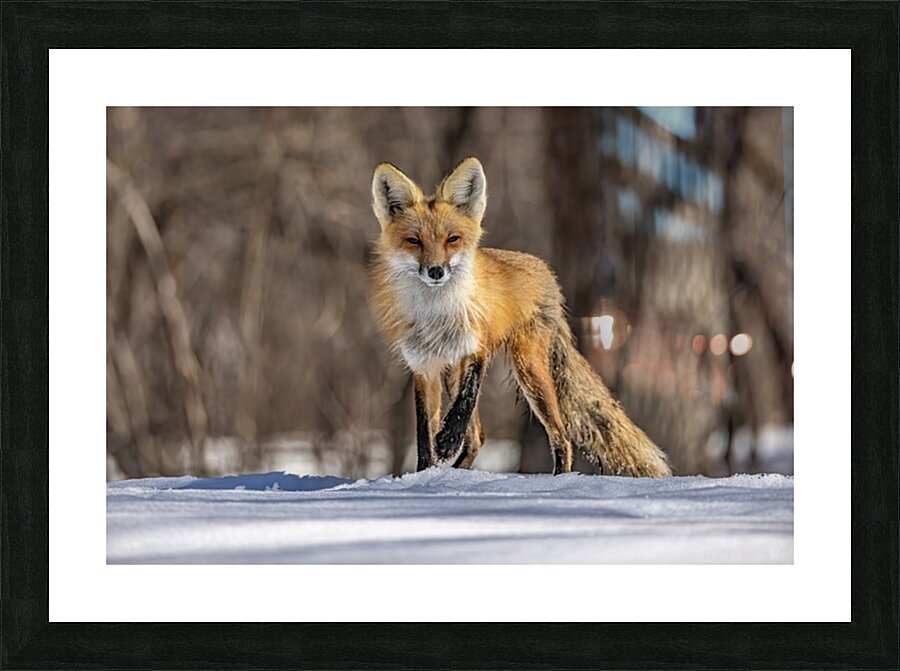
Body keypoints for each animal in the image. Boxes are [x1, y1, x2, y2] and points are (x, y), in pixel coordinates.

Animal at [369, 157, 671, 477]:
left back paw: (558, 480)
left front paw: (448, 440)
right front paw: (424, 475)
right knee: (478, 438)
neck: (437, 314)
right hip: (457, 373)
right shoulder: (423, 366)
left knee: (561, 437)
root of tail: (545, 272)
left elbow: (466, 399)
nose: (436, 271)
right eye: (414, 241)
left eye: (452, 239)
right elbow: (424, 434)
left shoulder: (478, 348)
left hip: (529, 370)